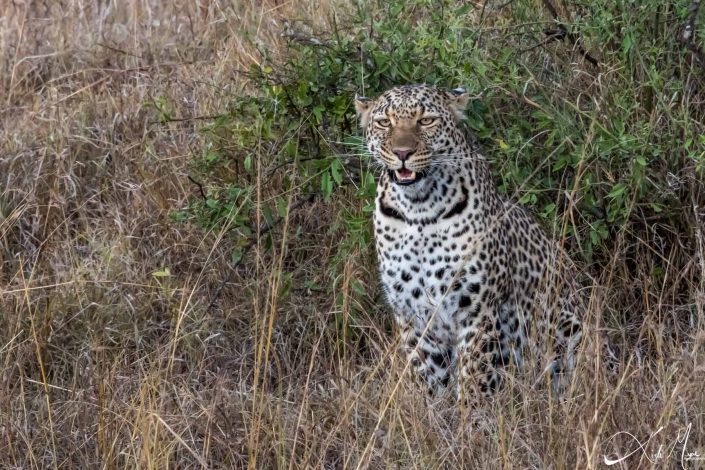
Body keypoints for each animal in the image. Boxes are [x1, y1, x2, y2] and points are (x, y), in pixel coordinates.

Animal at [354, 83, 580, 404]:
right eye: (385, 122)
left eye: (426, 121)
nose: (402, 153)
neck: (419, 209)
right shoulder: (413, 316)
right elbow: (430, 382)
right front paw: (434, 415)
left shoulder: (478, 311)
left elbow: (474, 378)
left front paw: (471, 417)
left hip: (568, 329)